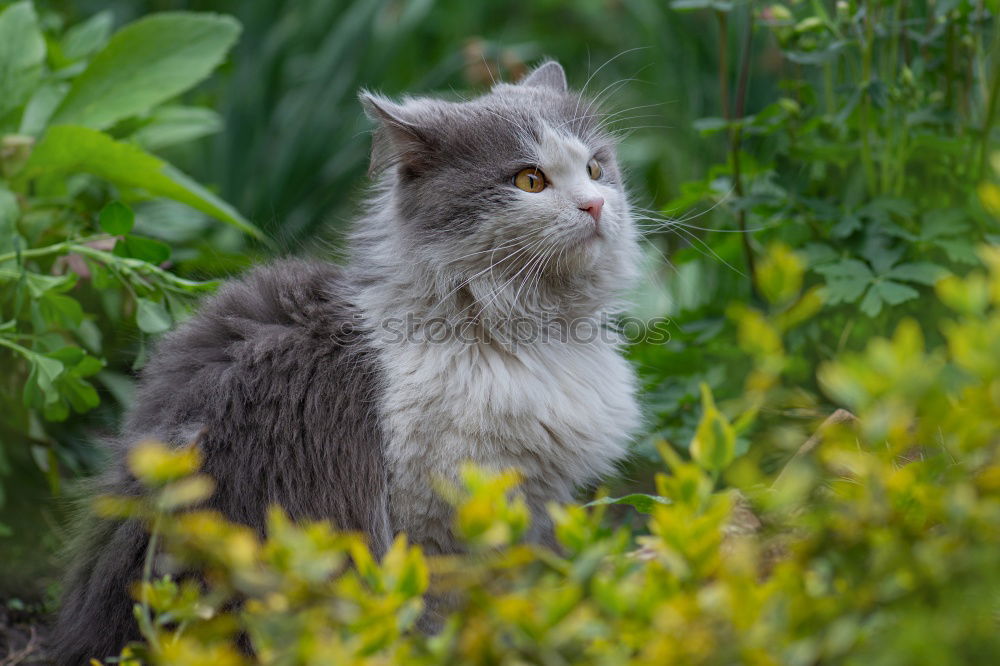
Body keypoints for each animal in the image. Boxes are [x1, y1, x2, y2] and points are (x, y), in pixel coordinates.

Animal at [50, 59, 640, 660]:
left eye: (595, 168)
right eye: (530, 180)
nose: (595, 205)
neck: (513, 332)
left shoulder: (532, 504)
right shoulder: (438, 514)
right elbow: (445, 607)